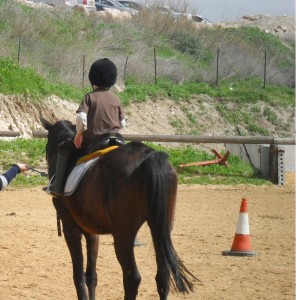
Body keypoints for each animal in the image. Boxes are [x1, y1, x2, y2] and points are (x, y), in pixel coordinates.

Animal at [40, 117, 197, 300]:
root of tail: (149, 155)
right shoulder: (92, 232)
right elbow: (91, 276)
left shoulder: (71, 229)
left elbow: (78, 275)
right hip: (160, 228)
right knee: (163, 275)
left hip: (123, 234)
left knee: (132, 277)